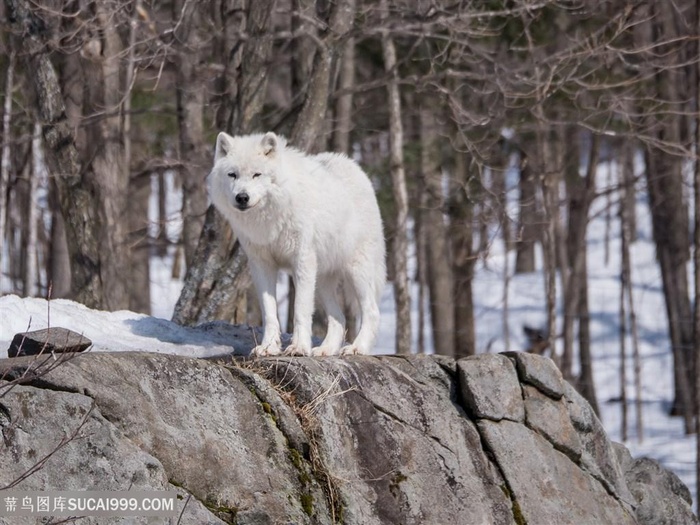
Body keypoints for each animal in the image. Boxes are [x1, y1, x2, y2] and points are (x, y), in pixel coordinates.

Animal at [206, 132, 388, 356]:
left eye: (257, 174)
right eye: (232, 174)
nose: (242, 197)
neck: (269, 218)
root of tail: (354, 167)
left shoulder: (302, 261)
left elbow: (300, 310)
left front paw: (299, 347)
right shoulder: (262, 265)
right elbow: (269, 313)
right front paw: (269, 347)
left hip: (356, 272)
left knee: (371, 311)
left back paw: (357, 348)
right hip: (322, 281)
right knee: (339, 318)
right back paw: (325, 350)